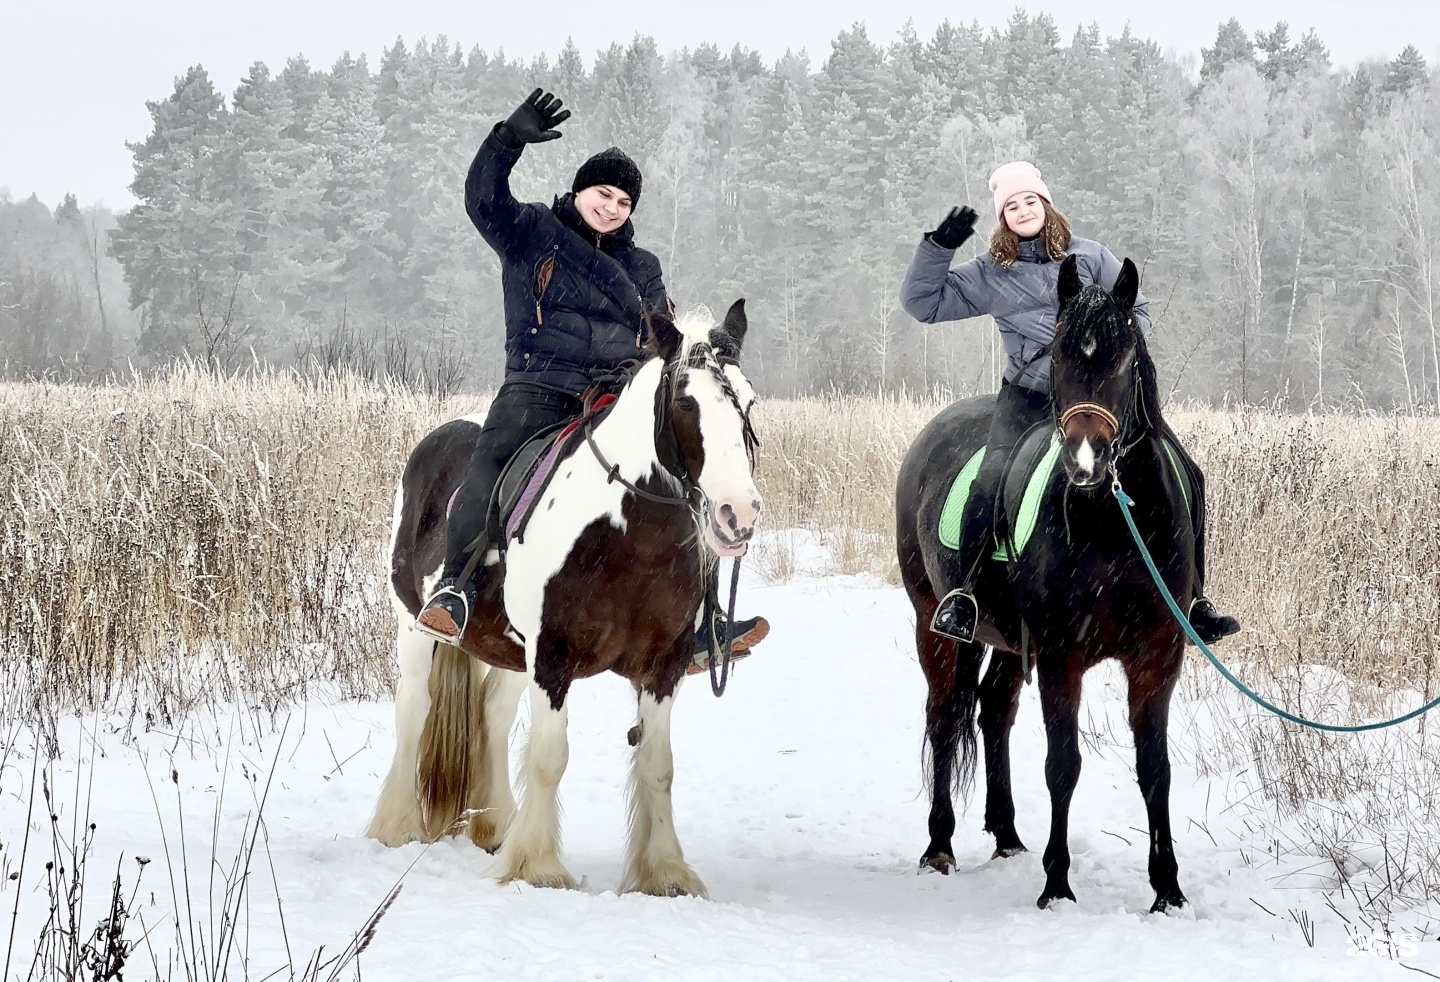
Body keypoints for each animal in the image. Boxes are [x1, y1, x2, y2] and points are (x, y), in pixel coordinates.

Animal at [368, 300, 766, 892]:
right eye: (683, 401)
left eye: (748, 400)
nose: (737, 513)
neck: (629, 532)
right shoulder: (552, 656)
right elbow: (549, 756)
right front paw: (537, 867)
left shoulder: (663, 663)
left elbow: (658, 766)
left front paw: (664, 872)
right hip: (413, 628)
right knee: (415, 709)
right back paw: (396, 827)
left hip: (509, 653)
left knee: (492, 715)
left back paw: (495, 827)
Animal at [898, 254, 1192, 910]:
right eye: (1057, 355)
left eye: (1124, 358)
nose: (1086, 461)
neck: (1113, 521)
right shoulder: (1062, 654)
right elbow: (1063, 765)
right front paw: (1057, 884)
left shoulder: (1157, 655)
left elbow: (1155, 770)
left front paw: (1167, 889)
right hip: (938, 626)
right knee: (944, 715)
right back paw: (939, 845)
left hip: (1009, 641)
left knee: (992, 709)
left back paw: (1007, 834)